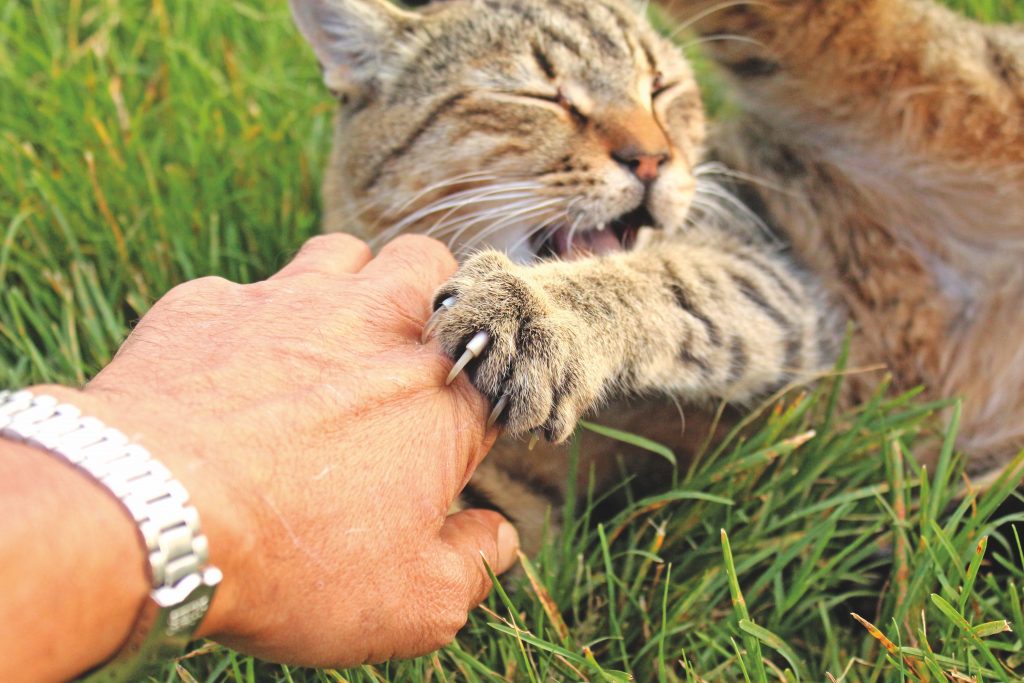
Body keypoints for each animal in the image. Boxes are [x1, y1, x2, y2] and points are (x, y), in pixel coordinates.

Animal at [288, 0, 1024, 548]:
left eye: (661, 89)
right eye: (541, 95)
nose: (652, 158)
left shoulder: (774, 272)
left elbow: (674, 284)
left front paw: (539, 311)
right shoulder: (530, 520)